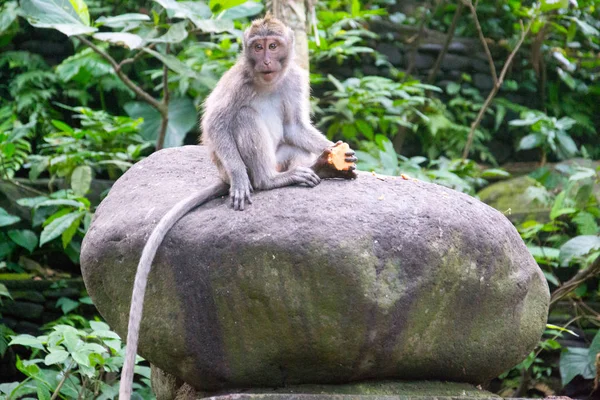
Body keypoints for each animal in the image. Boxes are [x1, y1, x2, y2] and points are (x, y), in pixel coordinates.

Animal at [117, 14, 356, 398]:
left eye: (273, 45)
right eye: (257, 47)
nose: (266, 60)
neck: (267, 81)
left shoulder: (293, 79)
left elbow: (295, 126)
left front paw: (336, 154)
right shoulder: (238, 80)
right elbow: (218, 122)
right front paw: (245, 179)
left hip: (282, 156)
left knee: (289, 142)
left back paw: (318, 167)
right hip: (239, 161)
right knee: (242, 118)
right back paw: (263, 180)